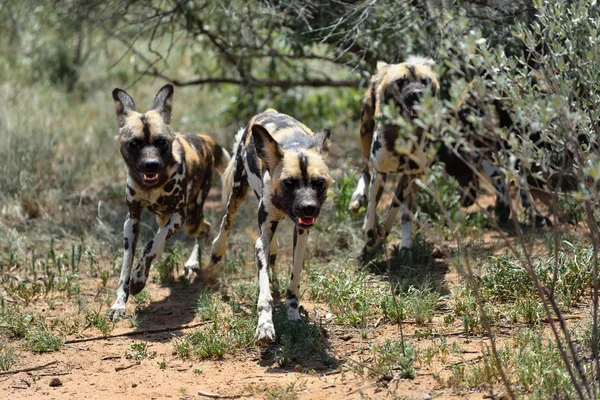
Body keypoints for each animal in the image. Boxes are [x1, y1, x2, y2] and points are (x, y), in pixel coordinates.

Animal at [108, 85, 230, 322]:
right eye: (134, 143)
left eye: (161, 142)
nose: (151, 165)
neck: (151, 186)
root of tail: (204, 138)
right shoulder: (132, 220)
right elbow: (126, 267)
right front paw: (120, 303)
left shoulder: (178, 216)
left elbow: (150, 245)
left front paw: (139, 279)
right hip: (163, 216)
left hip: (191, 217)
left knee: (204, 228)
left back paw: (193, 263)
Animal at [207, 108, 330, 344]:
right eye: (289, 182)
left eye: (318, 183)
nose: (308, 208)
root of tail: (268, 111)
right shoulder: (261, 240)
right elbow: (264, 294)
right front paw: (265, 326)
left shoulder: (301, 233)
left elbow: (294, 280)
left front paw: (293, 314)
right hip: (238, 193)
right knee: (227, 222)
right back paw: (216, 252)